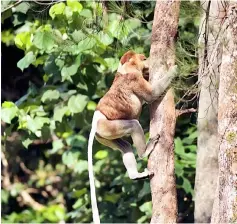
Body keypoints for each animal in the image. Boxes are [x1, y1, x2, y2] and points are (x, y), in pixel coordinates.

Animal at [88, 50, 177, 223]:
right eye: (143, 58)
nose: (148, 62)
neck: (124, 69)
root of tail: (95, 121)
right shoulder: (134, 78)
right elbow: (151, 95)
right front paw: (175, 68)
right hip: (109, 127)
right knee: (134, 125)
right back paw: (145, 151)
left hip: (104, 136)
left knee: (126, 147)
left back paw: (136, 175)